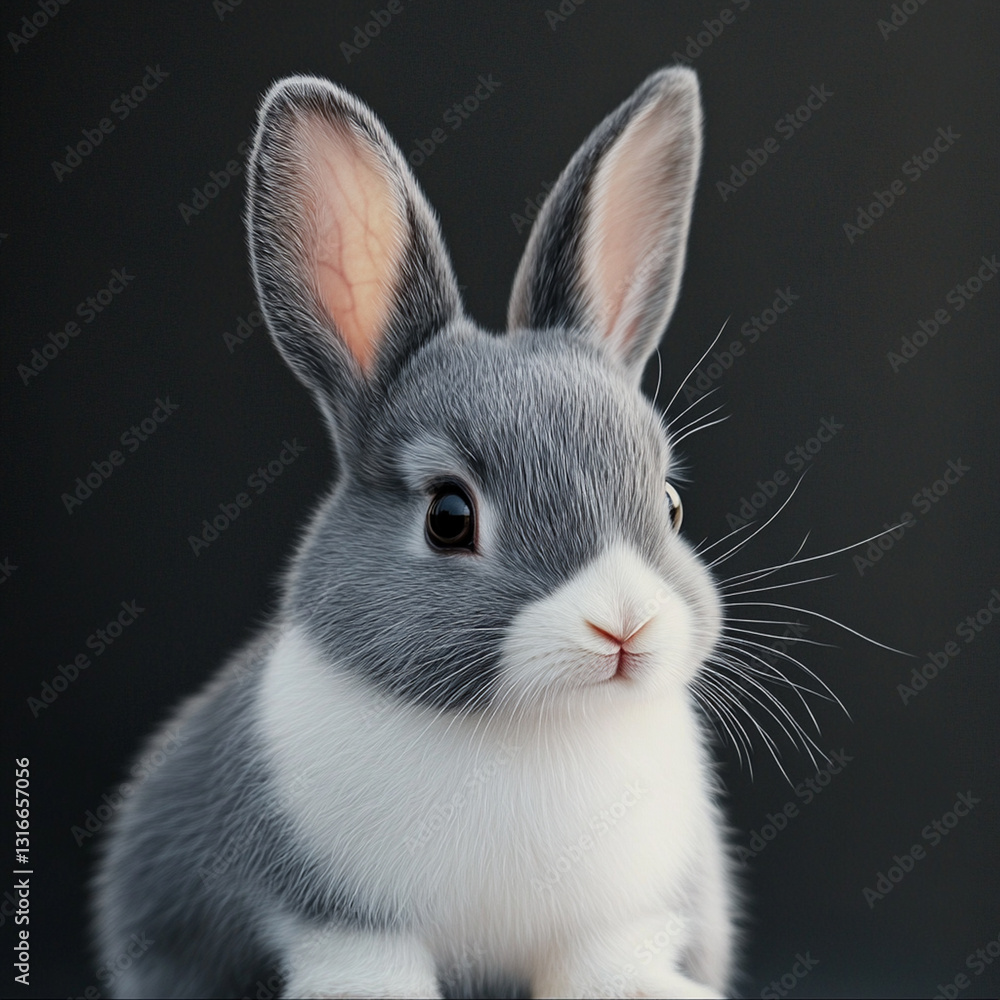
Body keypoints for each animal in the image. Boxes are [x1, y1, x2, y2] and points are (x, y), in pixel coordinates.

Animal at [93, 65, 737, 999]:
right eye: (449, 518)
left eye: (670, 505)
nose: (624, 627)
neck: (527, 727)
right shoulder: (341, 921)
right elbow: (363, 962)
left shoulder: (621, 919)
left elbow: (607, 962)